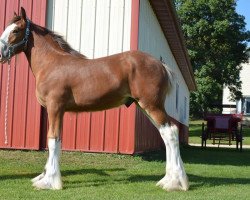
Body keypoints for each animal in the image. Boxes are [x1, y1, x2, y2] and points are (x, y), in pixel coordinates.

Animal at [0, 7, 188, 191]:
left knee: (171, 133)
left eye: (16, 30)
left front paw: (49, 181)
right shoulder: (56, 111)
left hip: (152, 105)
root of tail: (160, 64)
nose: (1, 53)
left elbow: (53, 140)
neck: (52, 64)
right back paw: (169, 180)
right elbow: (54, 140)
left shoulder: (55, 108)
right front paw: (45, 176)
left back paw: (175, 183)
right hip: (145, 106)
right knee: (165, 134)